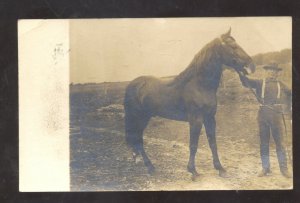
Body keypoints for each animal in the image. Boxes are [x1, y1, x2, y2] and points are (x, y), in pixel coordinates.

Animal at [123, 29, 255, 179]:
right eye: (233, 46)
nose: (251, 65)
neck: (200, 85)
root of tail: (132, 85)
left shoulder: (210, 118)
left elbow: (213, 143)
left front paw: (220, 168)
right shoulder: (196, 120)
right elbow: (193, 145)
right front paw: (193, 170)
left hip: (144, 117)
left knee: (137, 139)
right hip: (139, 117)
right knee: (138, 140)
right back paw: (150, 167)